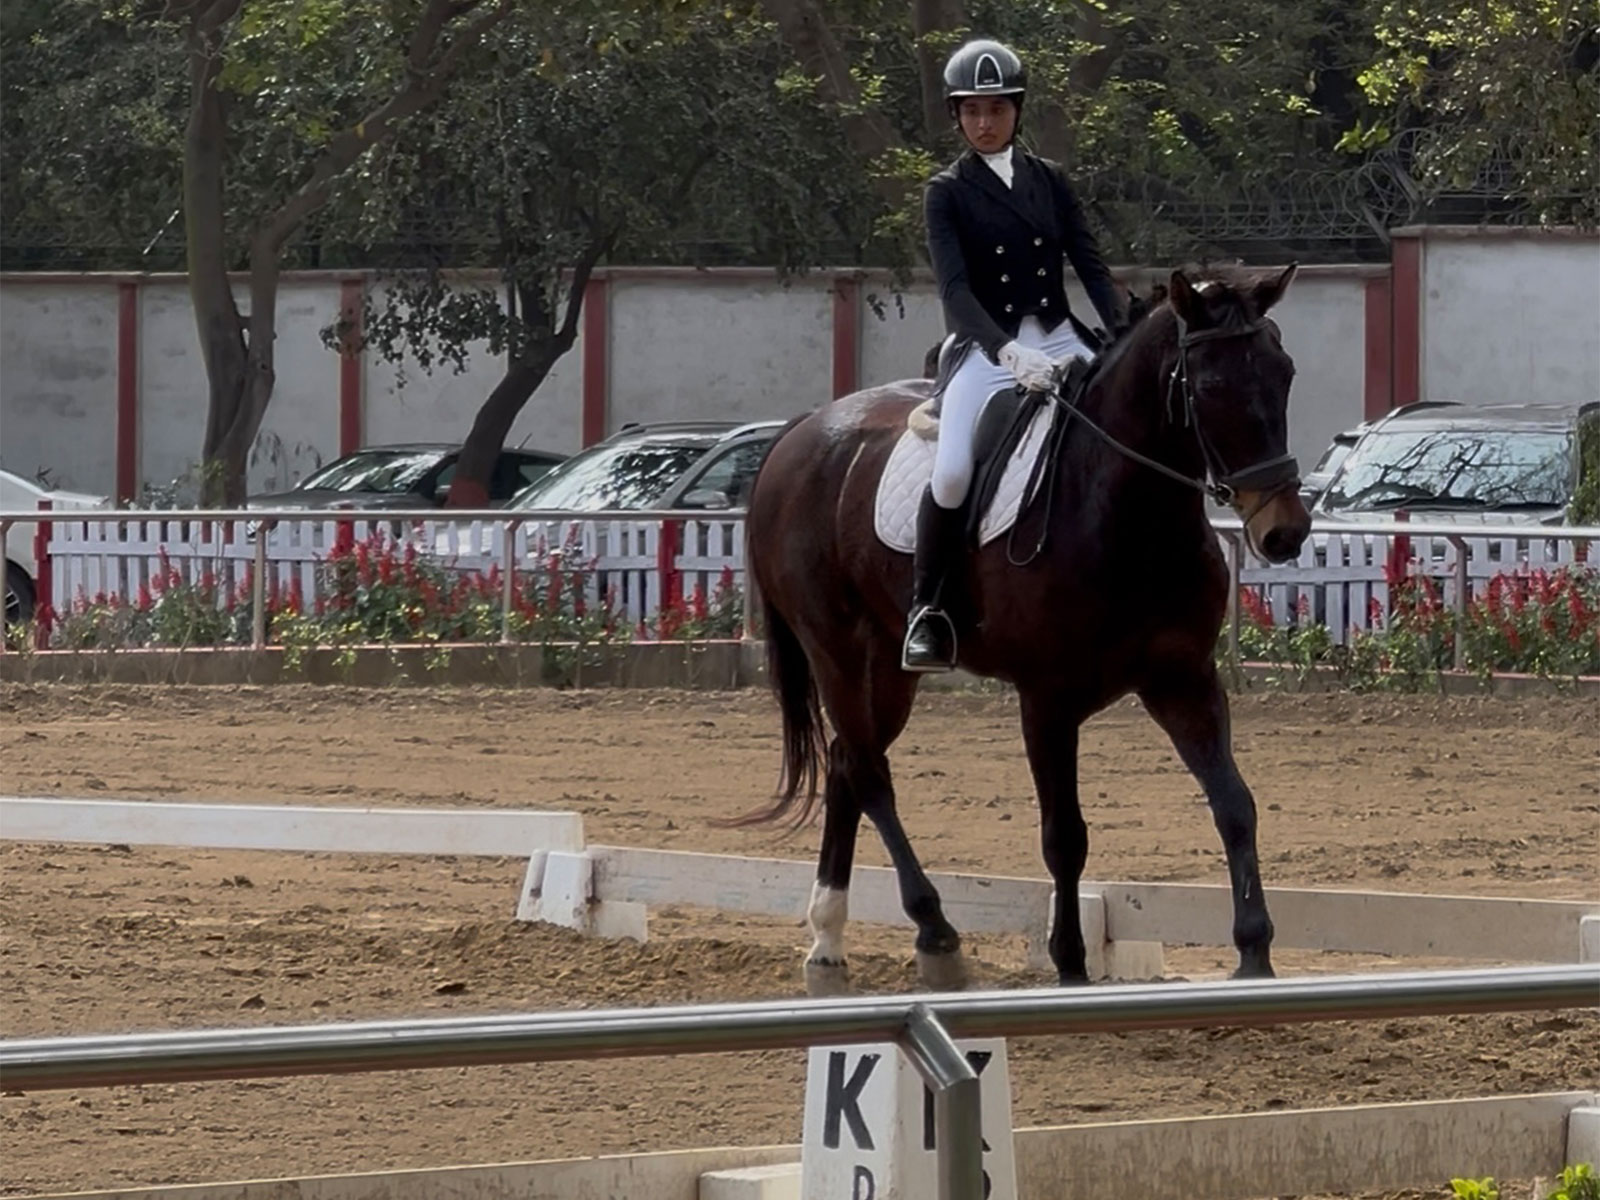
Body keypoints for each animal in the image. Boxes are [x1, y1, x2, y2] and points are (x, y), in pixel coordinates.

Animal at [741, 266, 1312, 995]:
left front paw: (1254, 953)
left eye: (1284, 372)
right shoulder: (1047, 698)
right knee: (868, 771)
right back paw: (934, 930)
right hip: (834, 646)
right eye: (1209, 386)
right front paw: (1069, 963)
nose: (1283, 531)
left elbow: (1234, 803)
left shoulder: (1183, 678)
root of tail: (802, 430)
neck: (1127, 513)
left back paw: (828, 938)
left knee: (848, 759)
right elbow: (1064, 834)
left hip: (889, 664)